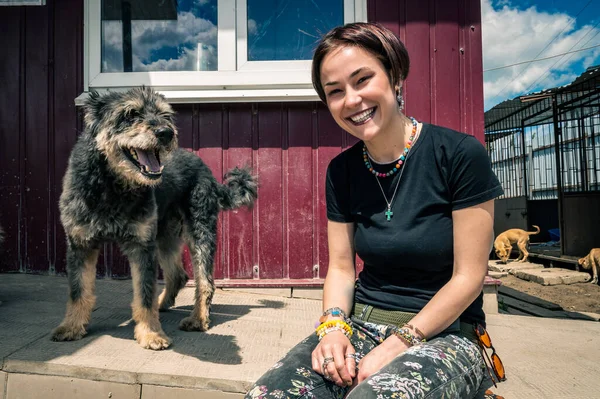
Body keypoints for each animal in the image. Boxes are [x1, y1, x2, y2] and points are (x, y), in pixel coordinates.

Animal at [51, 87, 255, 350]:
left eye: (165, 115)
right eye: (130, 113)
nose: (166, 133)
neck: (112, 186)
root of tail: (206, 170)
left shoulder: (141, 246)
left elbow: (144, 294)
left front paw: (151, 334)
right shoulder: (80, 244)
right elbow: (78, 290)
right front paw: (71, 326)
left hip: (200, 231)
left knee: (205, 281)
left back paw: (197, 319)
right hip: (164, 236)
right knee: (178, 275)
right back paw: (164, 305)